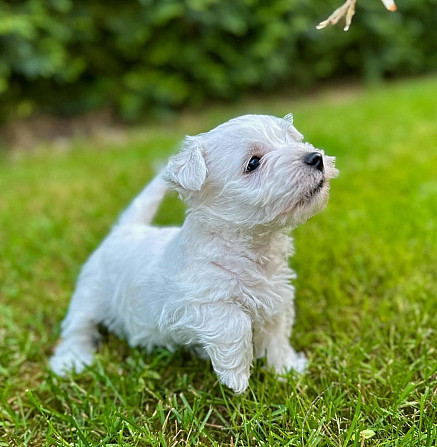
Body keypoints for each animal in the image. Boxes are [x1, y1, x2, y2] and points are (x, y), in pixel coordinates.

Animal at [50, 114, 338, 394]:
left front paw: (288, 370)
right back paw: (71, 361)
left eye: (290, 139)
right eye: (253, 163)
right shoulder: (193, 304)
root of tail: (124, 229)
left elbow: (278, 335)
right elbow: (235, 322)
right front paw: (236, 377)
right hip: (89, 296)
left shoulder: (277, 299)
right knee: (77, 328)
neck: (251, 247)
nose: (315, 157)